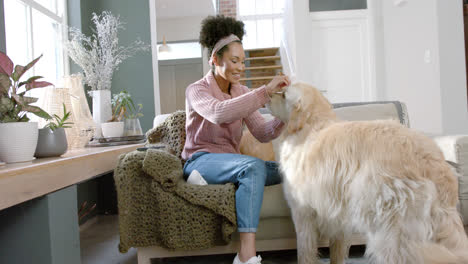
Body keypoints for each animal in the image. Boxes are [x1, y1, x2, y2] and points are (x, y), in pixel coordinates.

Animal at [266, 83, 468, 264]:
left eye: (283, 94)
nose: (267, 94)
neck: (312, 125)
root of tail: (431, 160)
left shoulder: (302, 211)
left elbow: (305, 252)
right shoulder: (338, 215)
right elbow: (337, 252)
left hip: (390, 226)